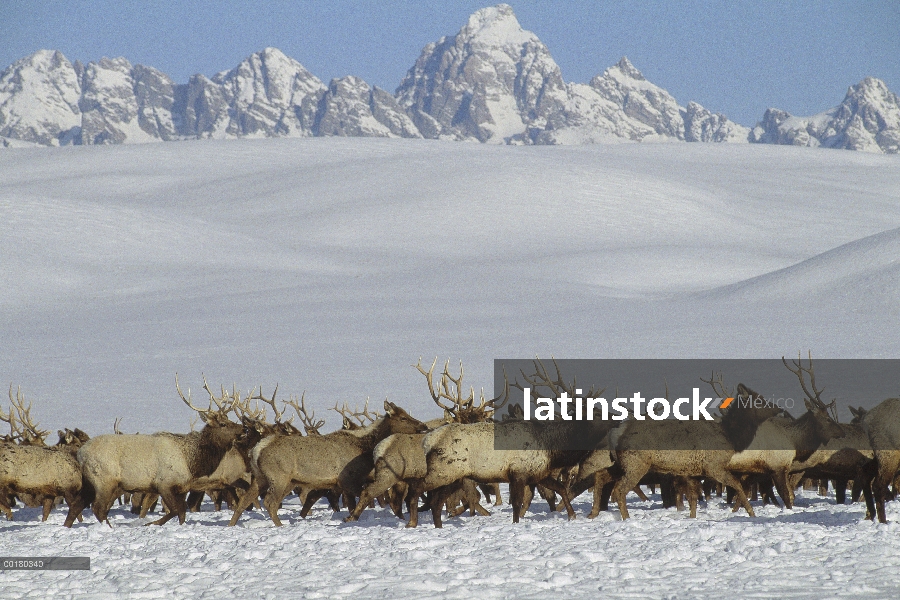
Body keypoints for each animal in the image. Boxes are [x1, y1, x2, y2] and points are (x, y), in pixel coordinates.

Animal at [76, 376, 243, 524]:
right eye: (223, 424)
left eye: (229, 419)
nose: (243, 428)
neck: (191, 461)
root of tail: (80, 454)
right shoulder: (164, 483)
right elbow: (176, 510)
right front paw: (151, 523)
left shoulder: (182, 487)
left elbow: (182, 514)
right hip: (104, 480)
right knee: (98, 508)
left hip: (91, 483)